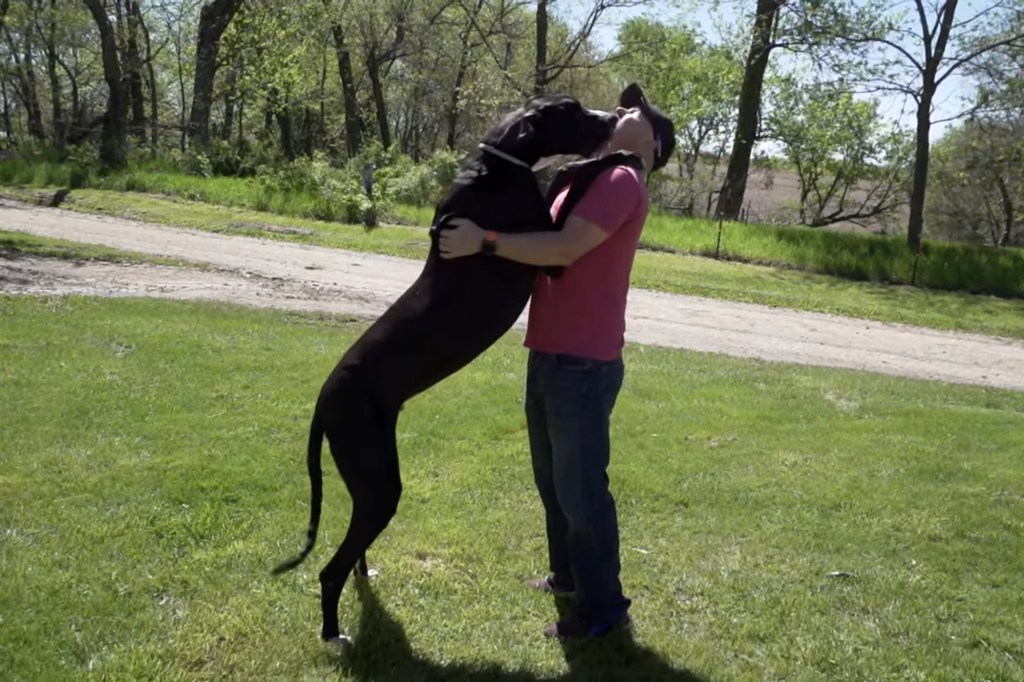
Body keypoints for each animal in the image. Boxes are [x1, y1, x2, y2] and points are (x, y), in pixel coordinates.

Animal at [272, 96, 614, 643]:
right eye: (573, 111)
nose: (612, 119)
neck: (497, 167)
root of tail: (324, 400)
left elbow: (566, 175)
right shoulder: (549, 253)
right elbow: (574, 177)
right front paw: (622, 155)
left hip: (367, 476)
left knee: (352, 545)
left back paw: (364, 576)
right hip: (379, 481)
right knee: (329, 569)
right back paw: (333, 633)